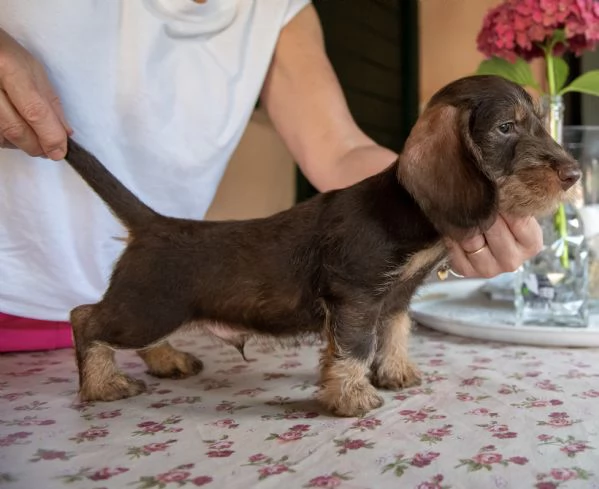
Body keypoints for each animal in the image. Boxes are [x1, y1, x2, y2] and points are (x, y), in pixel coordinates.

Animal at [64, 75, 580, 416]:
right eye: (506, 128)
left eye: (540, 123)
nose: (574, 174)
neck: (408, 209)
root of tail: (153, 224)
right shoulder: (356, 297)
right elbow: (354, 347)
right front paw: (352, 396)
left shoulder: (394, 299)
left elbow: (394, 333)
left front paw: (394, 372)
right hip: (148, 308)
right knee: (85, 319)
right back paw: (103, 384)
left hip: (152, 312)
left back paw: (166, 359)